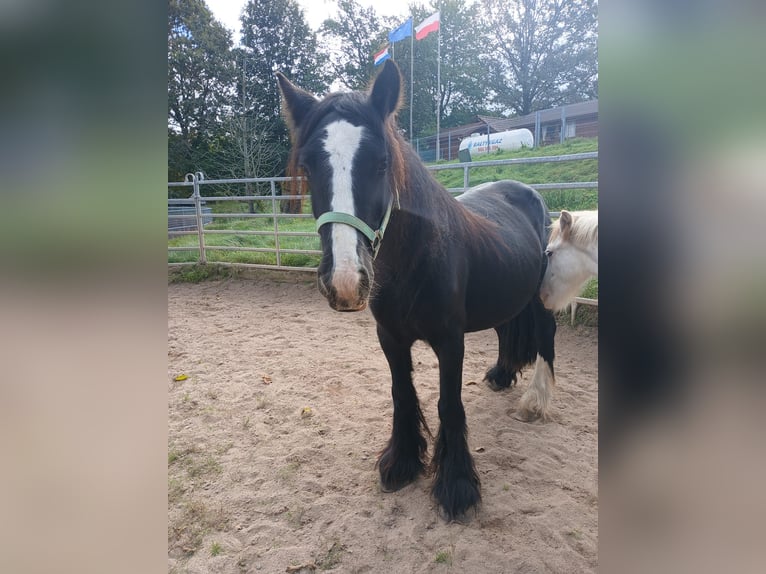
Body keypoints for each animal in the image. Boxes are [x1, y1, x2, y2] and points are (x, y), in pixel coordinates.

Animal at [280, 60, 556, 520]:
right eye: (310, 165)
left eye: (381, 162)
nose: (345, 281)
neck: (415, 260)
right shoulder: (390, 338)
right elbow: (402, 394)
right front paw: (402, 462)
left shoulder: (450, 341)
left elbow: (449, 404)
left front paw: (456, 485)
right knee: (506, 330)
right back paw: (501, 376)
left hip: (544, 296)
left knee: (547, 341)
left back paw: (538, 403)